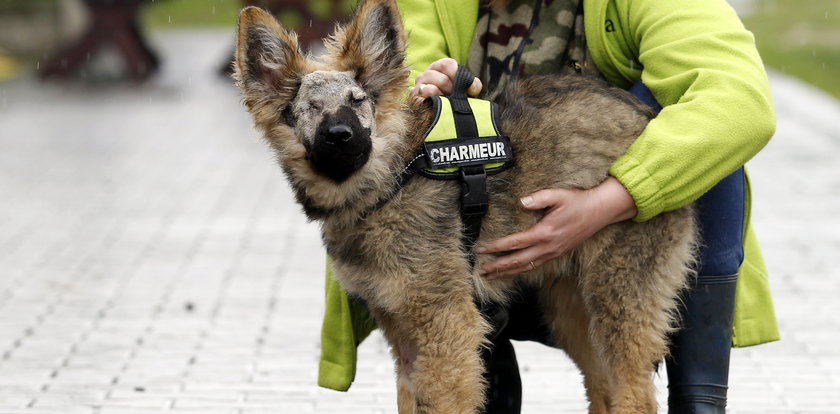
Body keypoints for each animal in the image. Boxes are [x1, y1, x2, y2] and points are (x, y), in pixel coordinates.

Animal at [231, 1, 696, 412]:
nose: (341, 136)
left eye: (357, 101)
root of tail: (645, 115)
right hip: (573, 314)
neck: (394, 177)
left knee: (635, 398)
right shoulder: (404, 337)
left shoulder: (448, 329)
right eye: (309, 109)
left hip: (618, 303)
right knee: (604, 392)